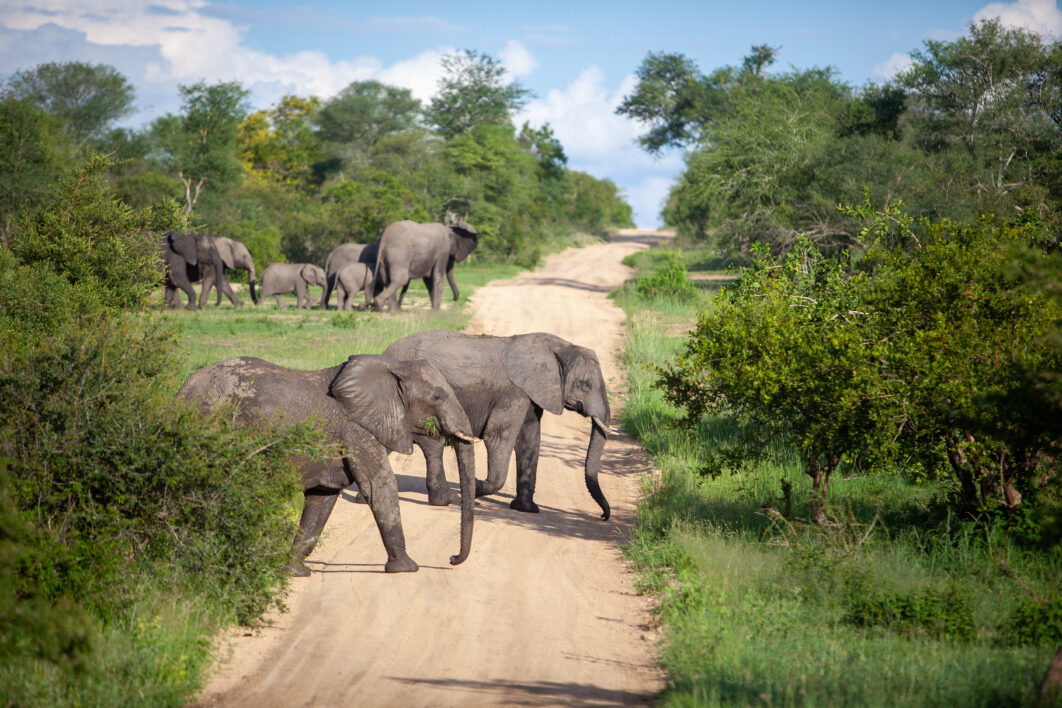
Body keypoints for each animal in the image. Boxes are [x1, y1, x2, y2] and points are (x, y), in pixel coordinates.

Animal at [178, 354, 477, 577]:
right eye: (437, 397)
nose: (451, 558)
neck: (394, 367)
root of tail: (183, 389)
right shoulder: (356, 428)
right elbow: (379, 485)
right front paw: (406, 568)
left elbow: (322, 498)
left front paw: (294, 572)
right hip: (208, 423)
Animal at [384, 331, 615, 520]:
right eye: (585, 385)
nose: (603, 516)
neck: (559, 347)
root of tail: (386, 351)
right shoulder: (514, 393)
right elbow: (498, 437)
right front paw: (475, 487)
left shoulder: (531, 396)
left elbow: (529, 440)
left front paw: (526, 509)